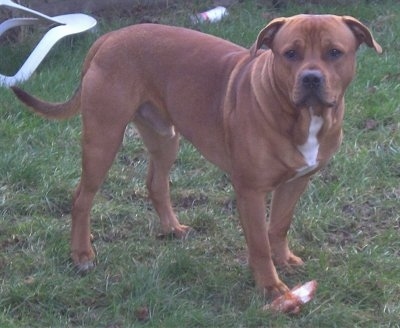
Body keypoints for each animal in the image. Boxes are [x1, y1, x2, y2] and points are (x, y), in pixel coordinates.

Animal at [11, 14, 382, 294]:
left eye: (335, 52)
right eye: (290, 53)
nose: (311, 78)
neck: (303, 117)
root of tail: (108, 38)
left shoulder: (296, 182)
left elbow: (279, 226)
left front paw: (284, 260)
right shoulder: (250, 190)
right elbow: (259, 242)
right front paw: (270, 286)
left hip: (165, 137)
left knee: (156, 183)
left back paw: (172, 228)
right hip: (104, 138)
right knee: (82, 198)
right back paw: (82, 254)